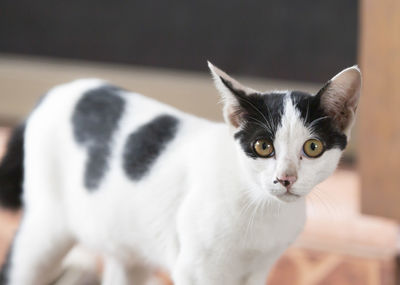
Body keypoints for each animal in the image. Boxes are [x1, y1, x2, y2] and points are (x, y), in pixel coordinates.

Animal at [0, 62, 360, 284]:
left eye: (312, 147)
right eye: (262, 146)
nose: (286, 178)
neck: (262, 210)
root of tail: (55, 90)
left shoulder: (259, 270)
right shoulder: (195, 271)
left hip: (126, 245)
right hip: (46, 229)